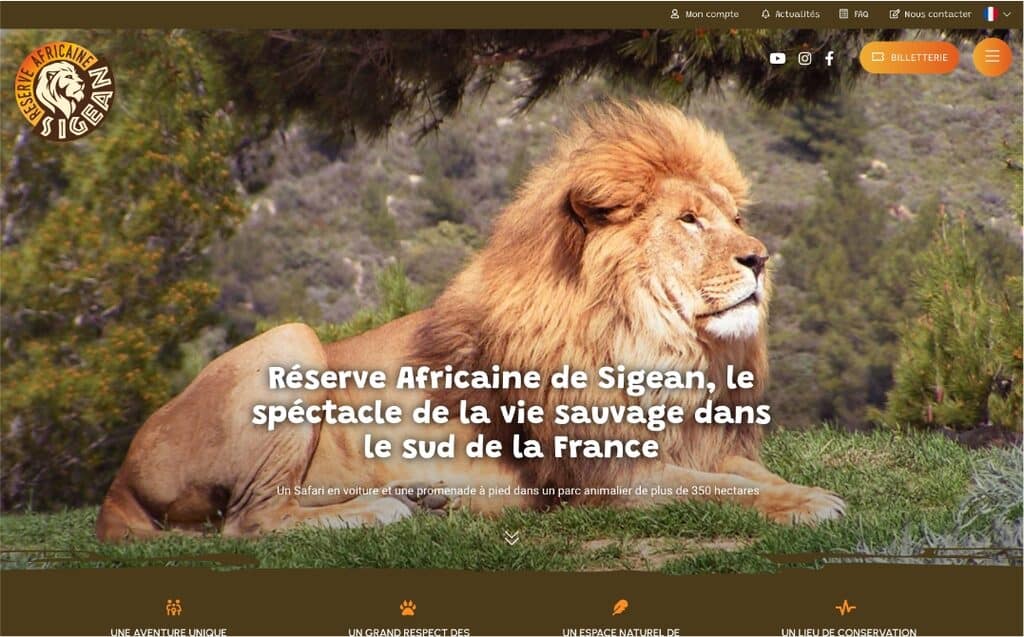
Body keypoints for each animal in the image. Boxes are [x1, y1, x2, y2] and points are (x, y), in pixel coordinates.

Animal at [96, 102, 845, 542]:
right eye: (689, 219)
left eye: (735, 216)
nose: (760, 257)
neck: (669, 350)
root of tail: (116, 483)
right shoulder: (607, 479)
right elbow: (724, 492)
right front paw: (815, 504)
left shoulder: (706, 445)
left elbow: (749, 477)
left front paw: (801, 492)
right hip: (293, 342)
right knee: (249, 522)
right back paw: (380, 510)